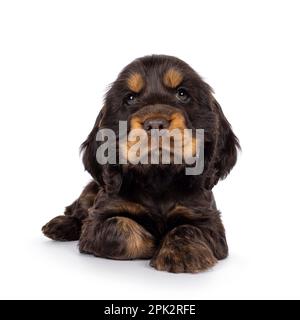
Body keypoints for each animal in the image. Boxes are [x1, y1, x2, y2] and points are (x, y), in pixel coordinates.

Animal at [42, 54, 239, 272]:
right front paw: (154, 243)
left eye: (182, 93)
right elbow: (119, 226)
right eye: (130, 98)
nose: (155, 124)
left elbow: (187, 228)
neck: (158, 177)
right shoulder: (98, 219)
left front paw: (182, 254)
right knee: (76, 210)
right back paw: (59, 225)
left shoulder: (208, 220)